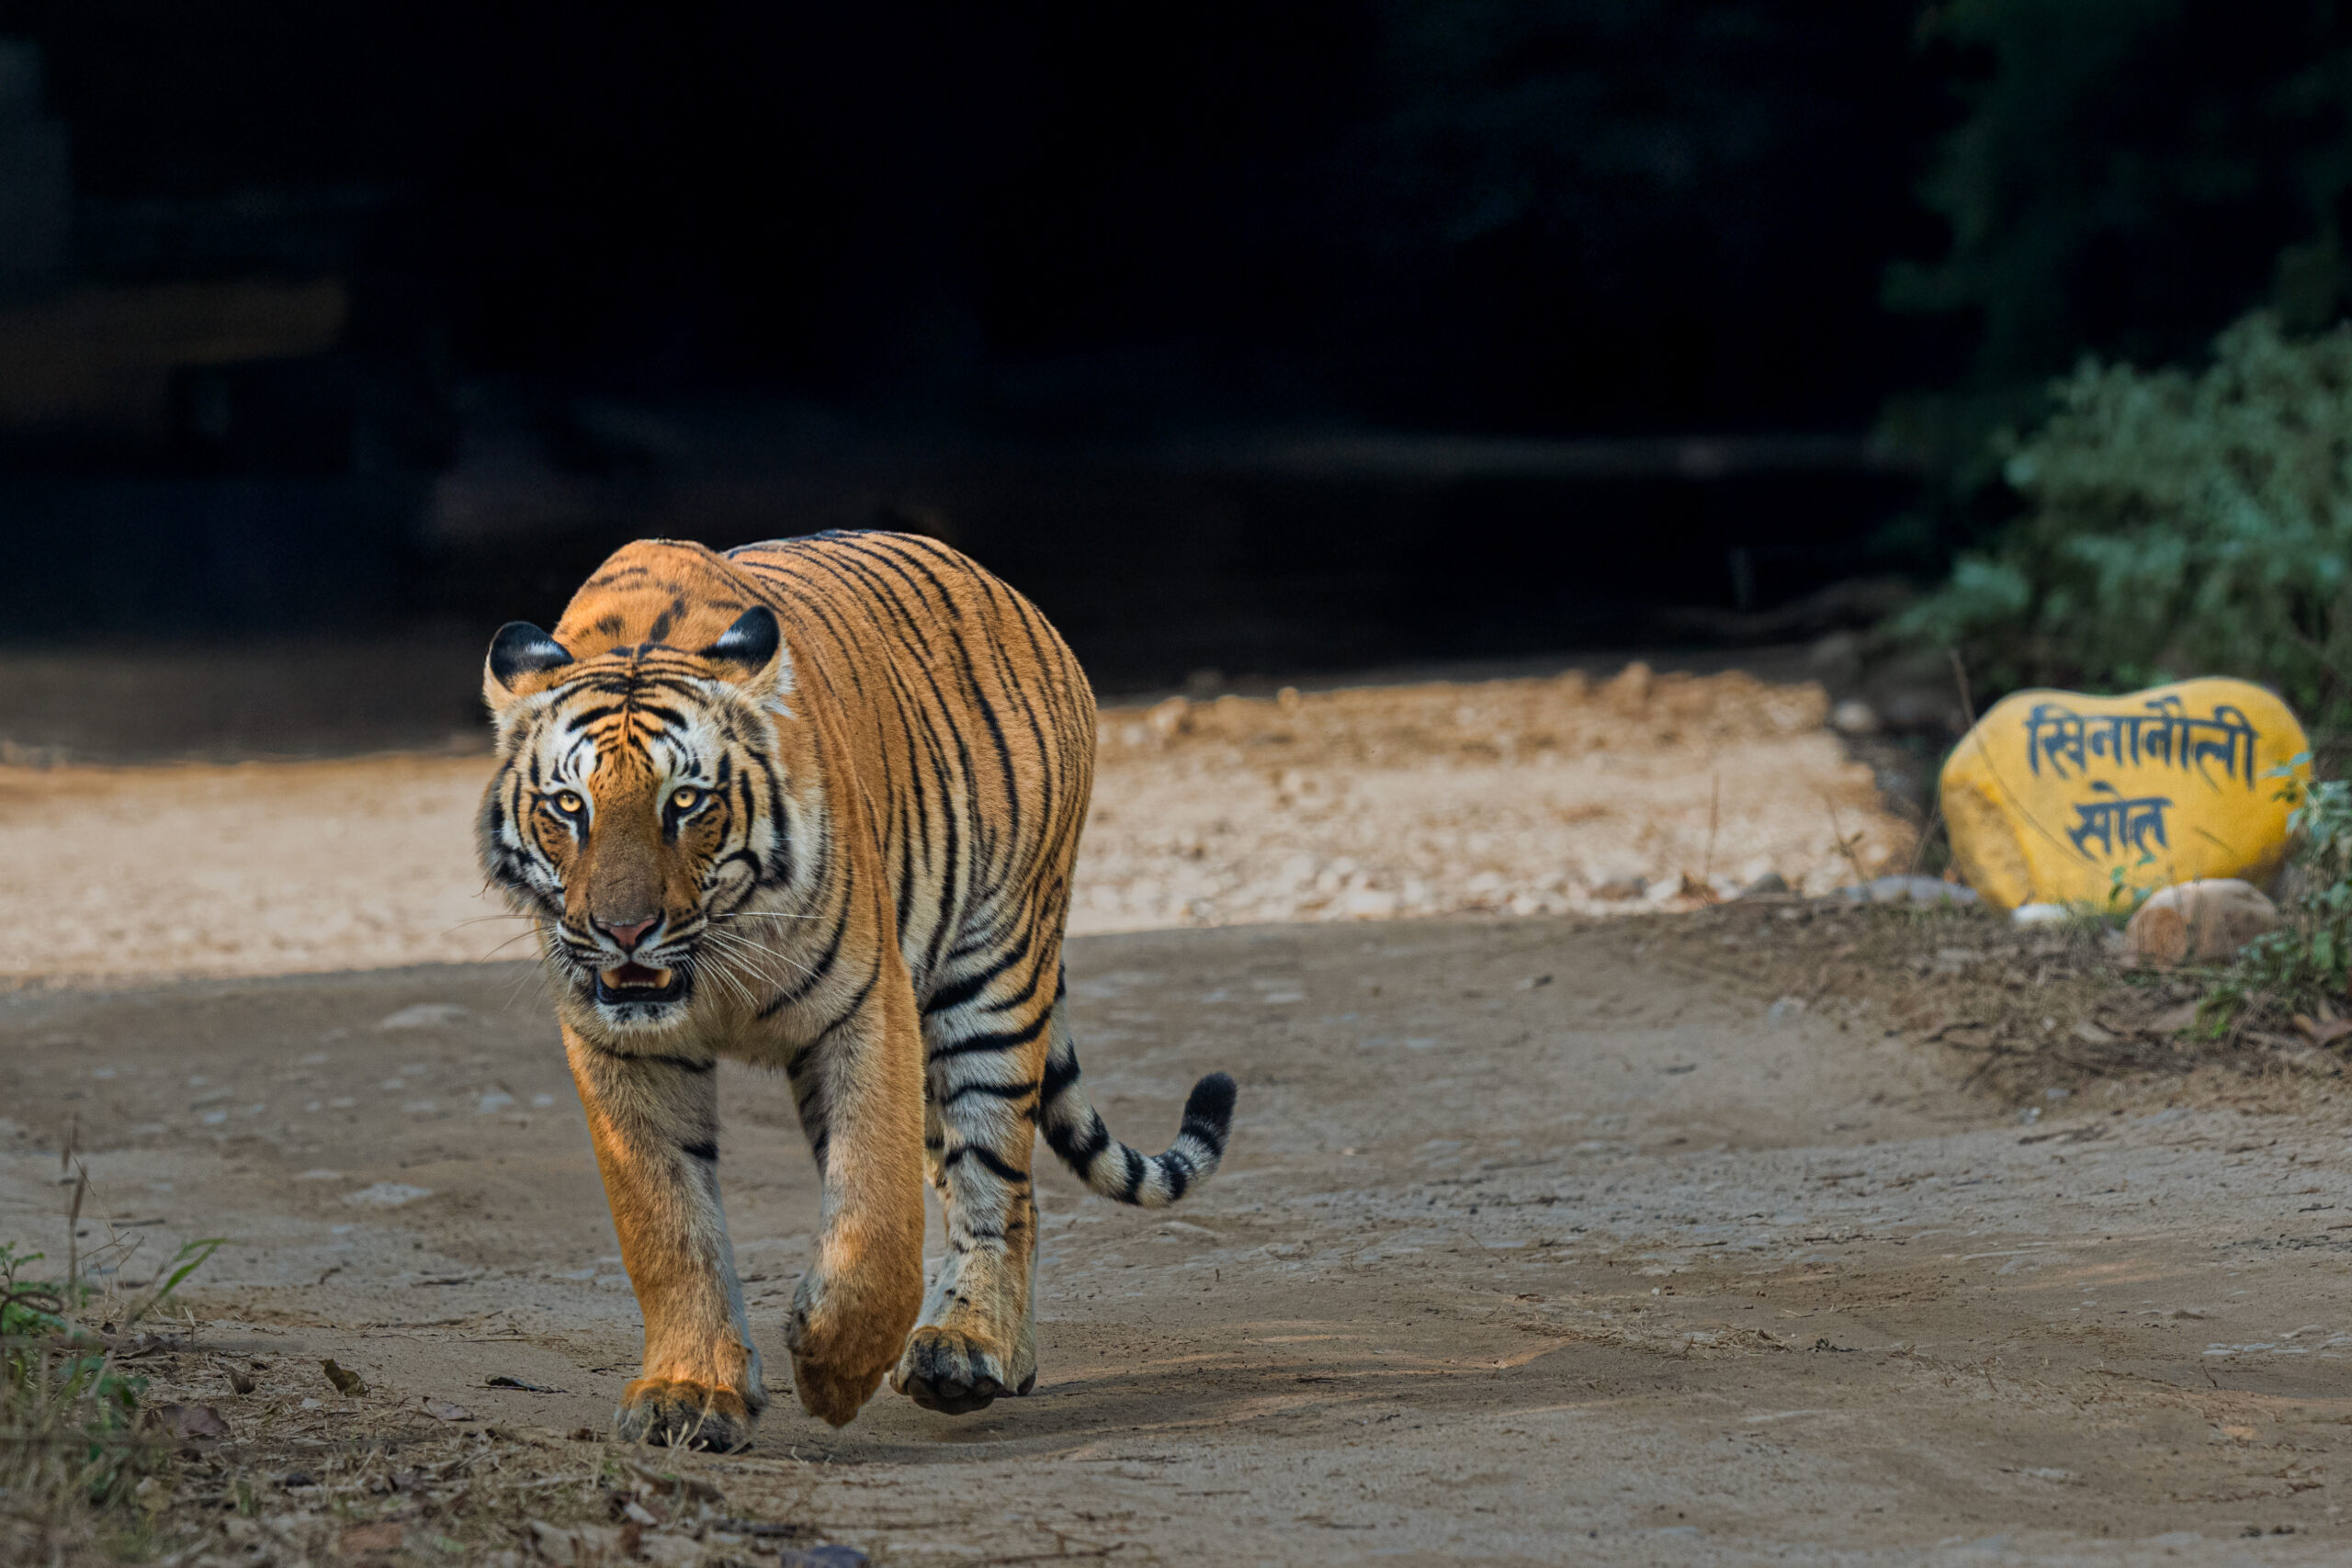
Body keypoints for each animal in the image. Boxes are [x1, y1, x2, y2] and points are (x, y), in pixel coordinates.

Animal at [477, 531, 1237, 1448]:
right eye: (568, 805)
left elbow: (875, 1210)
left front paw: (835, 1368)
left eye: (685, 800)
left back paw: (967, 1350)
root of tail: (1009, 591)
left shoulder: (867, 1008)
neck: (714, 956)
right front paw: (689, 1390)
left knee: (997, 1183)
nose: (625, 931)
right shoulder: (620, 1045)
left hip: (992, 976)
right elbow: (665, 1222)